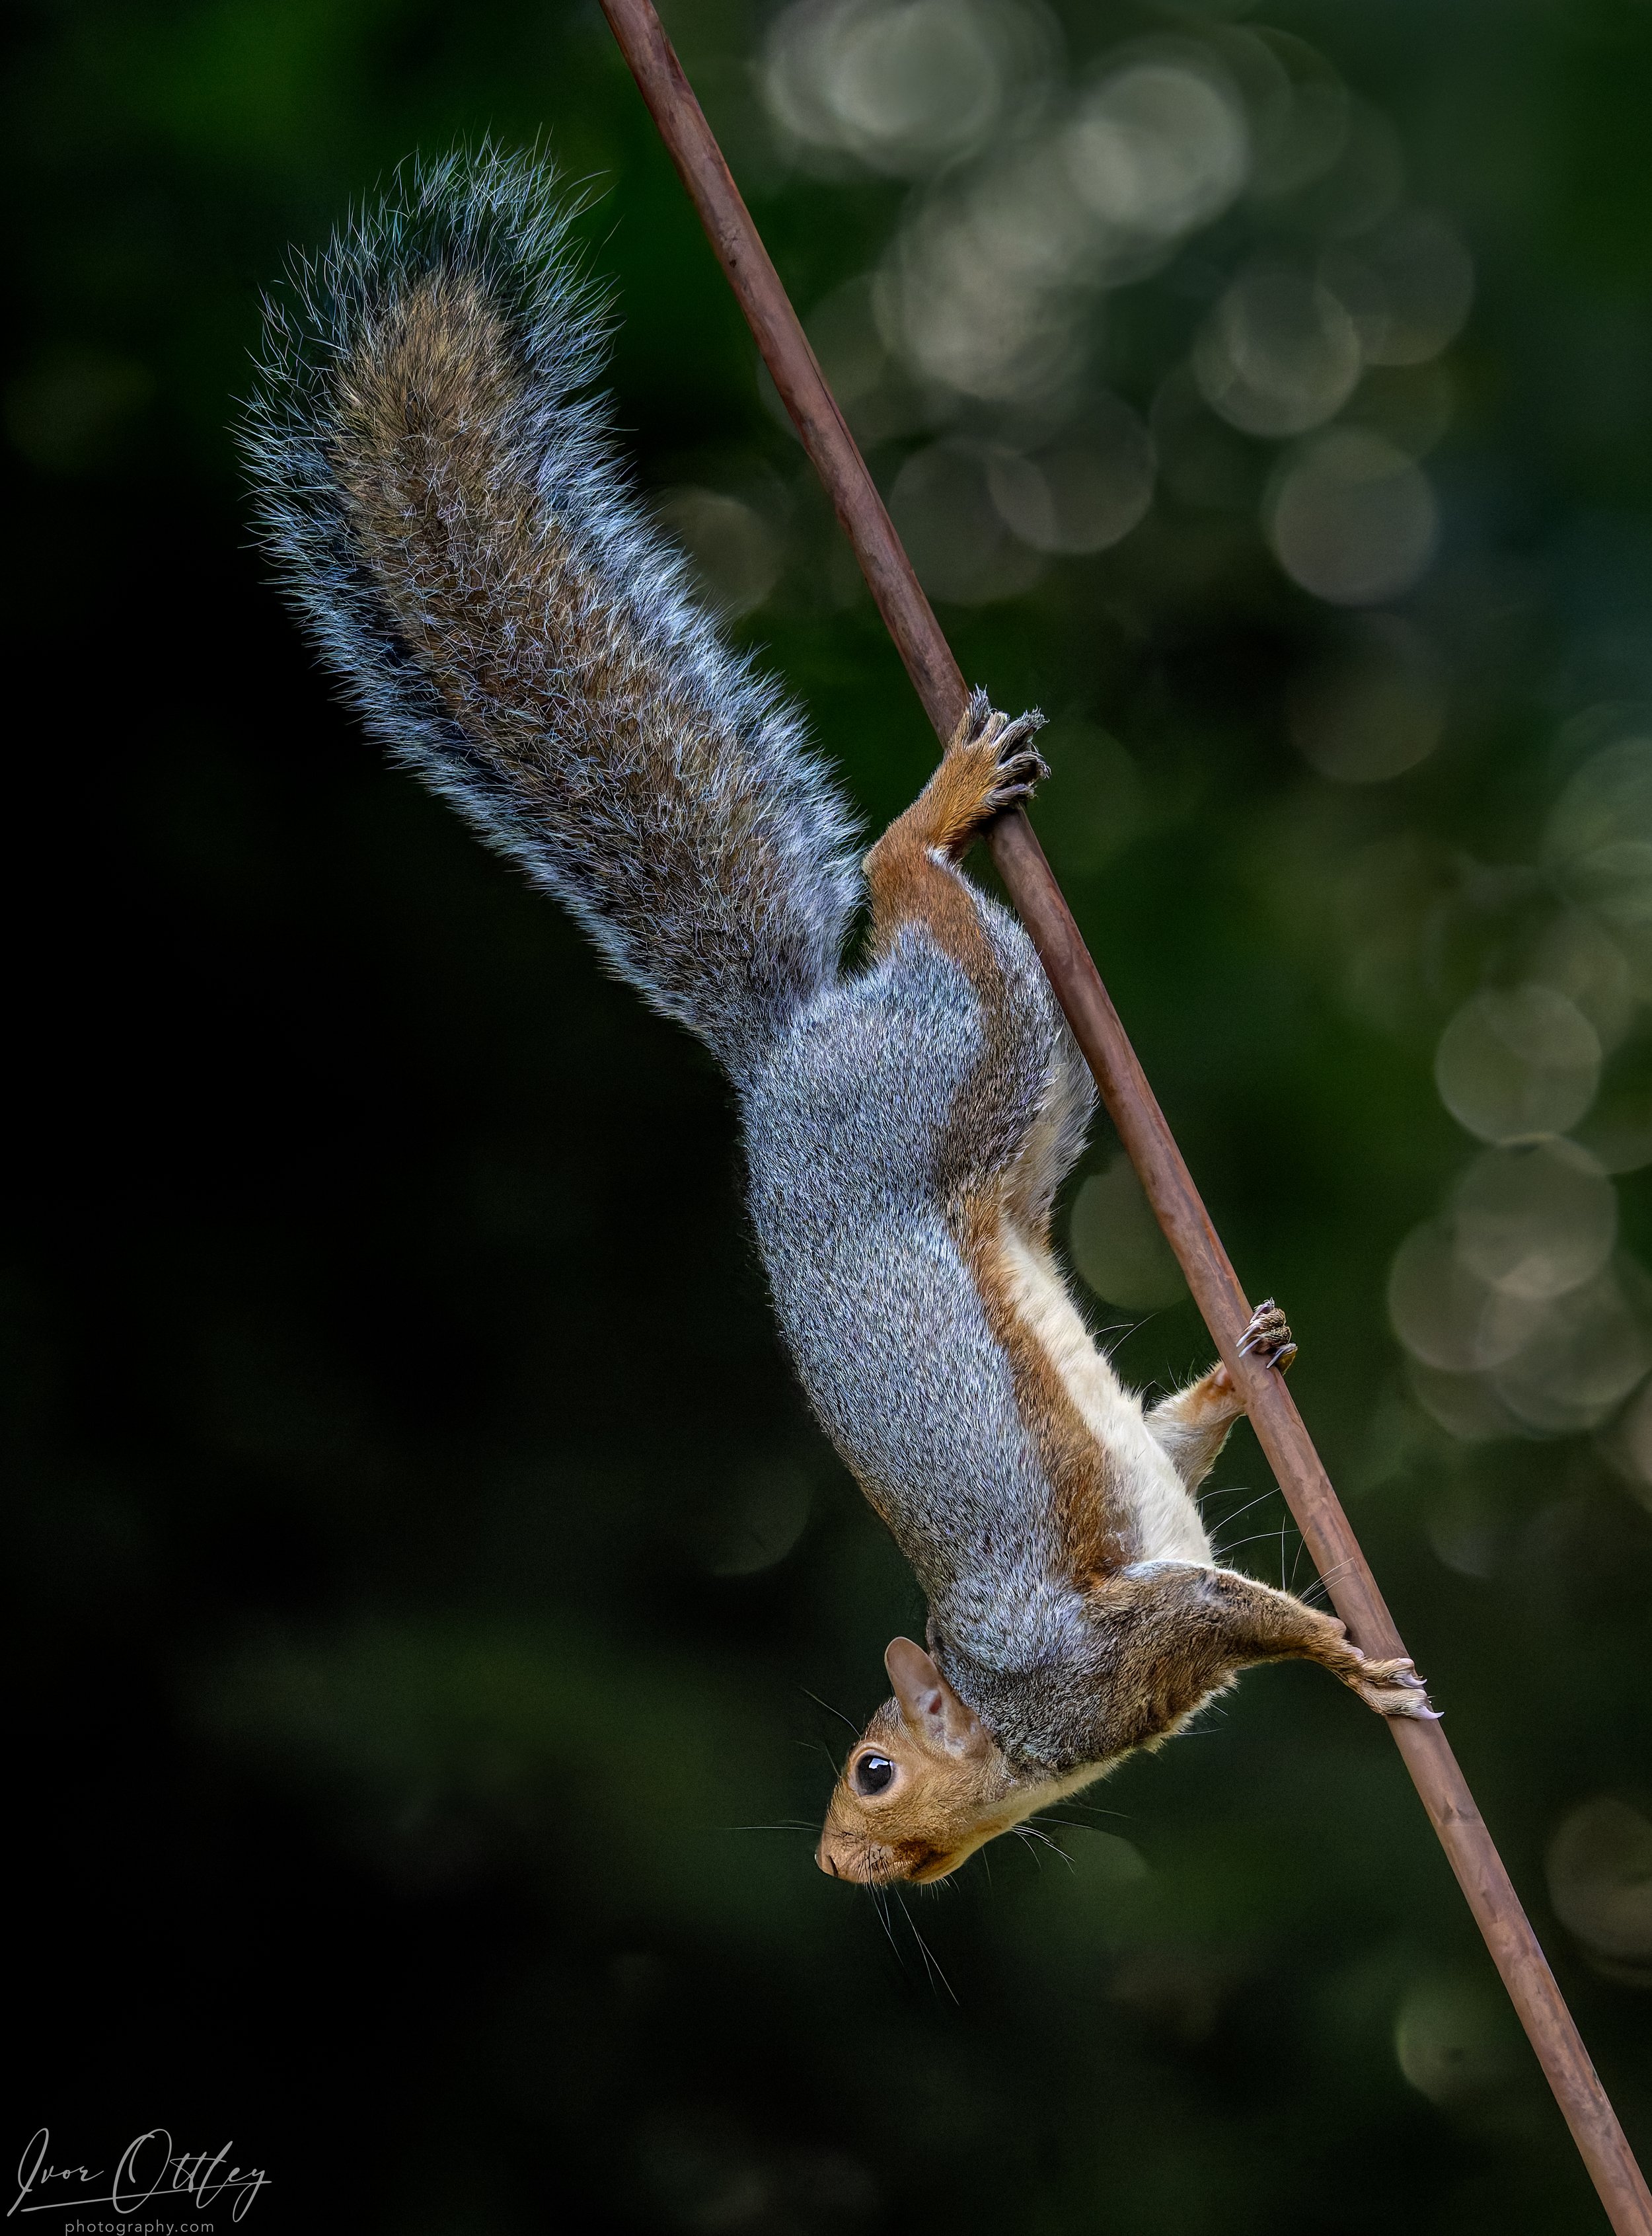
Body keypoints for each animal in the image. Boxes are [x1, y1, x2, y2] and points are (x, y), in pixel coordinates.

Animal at [245, 148, 1437, 1891]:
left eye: (874, 1769)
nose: (832, 1866)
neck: (1020, 1730)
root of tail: (787, 1046)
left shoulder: (1109, 1650)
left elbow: (1248, 1615)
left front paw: (1359, 1666)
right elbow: (1177, 1478)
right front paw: (1241, 1396)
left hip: (949, 1066)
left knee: (901, 880)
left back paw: (929, 816)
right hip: (1014, 1096)